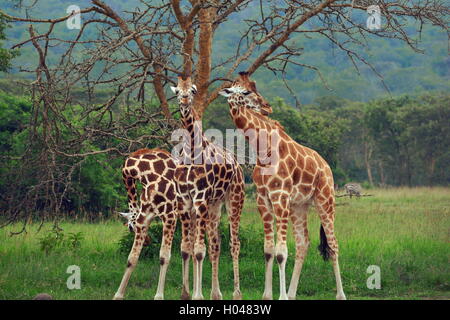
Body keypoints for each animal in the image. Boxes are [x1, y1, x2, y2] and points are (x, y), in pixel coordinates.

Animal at [112, 148, 193, 300]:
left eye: (130, 228)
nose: (147, 241)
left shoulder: (170, 215)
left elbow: (164, 257)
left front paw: (159, 296)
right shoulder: (145, 217)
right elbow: (132, 258)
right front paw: (118, 295)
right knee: (188, 249)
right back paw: (186, 294)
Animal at [171, 75, 244, 300]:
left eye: (193, 91)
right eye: (177, 91)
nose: (185, 101)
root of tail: (238, 166)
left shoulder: (200, 198)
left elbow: (198, 250)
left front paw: (197, 295)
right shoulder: (185, 201)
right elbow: (186, 248)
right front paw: (186, 293)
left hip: (234, 200)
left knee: (233, 244)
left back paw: (236, 293)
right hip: (214, 206)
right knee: (215, 245)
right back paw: (216, 293)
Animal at [220, 72, 346, 300]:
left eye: (254, 88)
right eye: (246, 91)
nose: (267, 106)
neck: (263, 149)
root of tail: (326, 166)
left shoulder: (280, 197)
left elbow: (281, 253)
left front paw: (281, 296)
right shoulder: (264, 200)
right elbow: (269, 250)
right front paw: (269, 295)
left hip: (325, 200)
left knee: (333, 245)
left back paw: (341, 295)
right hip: (299, 206)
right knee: (303, 243)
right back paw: (293, 293)